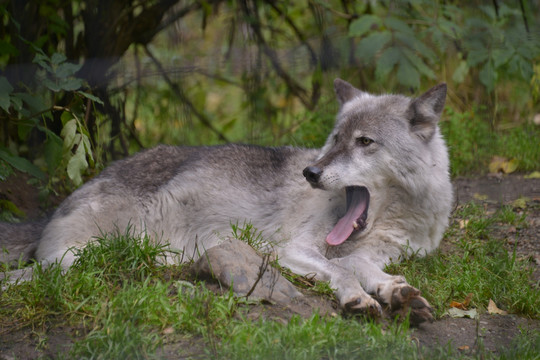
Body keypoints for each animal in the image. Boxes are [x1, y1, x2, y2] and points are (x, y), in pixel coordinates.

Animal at [2, 79, 454, 324]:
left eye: (364, 142)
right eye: (335, 139)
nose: (310, 174)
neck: (391, 221)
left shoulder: (377, 253)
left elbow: (366, 267)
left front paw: (397, 292)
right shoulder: (286, 248)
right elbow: (342, 269)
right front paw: (359, 297)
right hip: (82, 258)